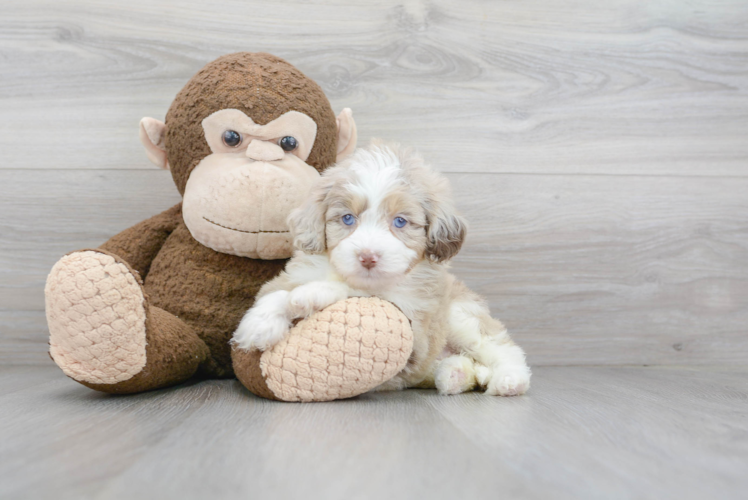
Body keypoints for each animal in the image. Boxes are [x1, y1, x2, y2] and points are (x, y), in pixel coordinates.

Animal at [234, 142, 532, 394]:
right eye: (347, 218)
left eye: (400, 221)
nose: (368, 257)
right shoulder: (295, 273)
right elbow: (276, 293)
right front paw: (259, 324)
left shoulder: (413, 323)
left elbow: (361, 293)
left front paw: (311, 294)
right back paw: (454, 374)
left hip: (461, 317)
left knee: (498, 346)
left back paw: (510, 380)